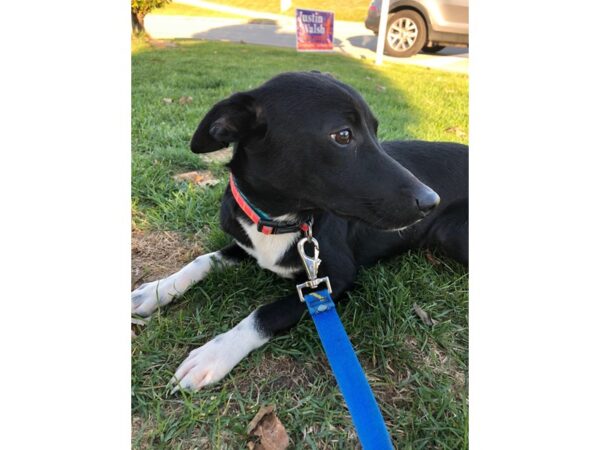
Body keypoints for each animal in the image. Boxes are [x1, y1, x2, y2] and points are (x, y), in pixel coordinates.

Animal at [131, 72, 468, 392]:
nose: (431, 201)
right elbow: (201, 260)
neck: (282, 219)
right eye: (343, 135)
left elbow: (266, 313)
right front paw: (156, 290)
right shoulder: (248, 245)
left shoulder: (334, 278)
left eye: (375, 130)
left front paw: (214, 354)